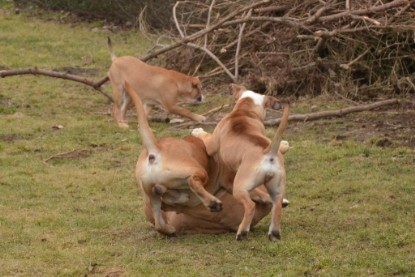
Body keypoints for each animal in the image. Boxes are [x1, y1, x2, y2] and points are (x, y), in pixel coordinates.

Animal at [124, 81, 224, 234]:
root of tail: (155, 150)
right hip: (194, 171)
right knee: (192, 182)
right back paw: (212, 203)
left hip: (149, 191)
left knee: (159, 220)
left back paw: (170, 227)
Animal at [202, 83, 290, 239]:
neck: (244, 111)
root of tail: (268, 152)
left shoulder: (211, 146)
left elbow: (205, 136)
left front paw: (197, 130)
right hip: (276, 186)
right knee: (277, 205)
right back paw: (274, 233)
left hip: (239, 187)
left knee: (250, 205)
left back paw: (242, 232)